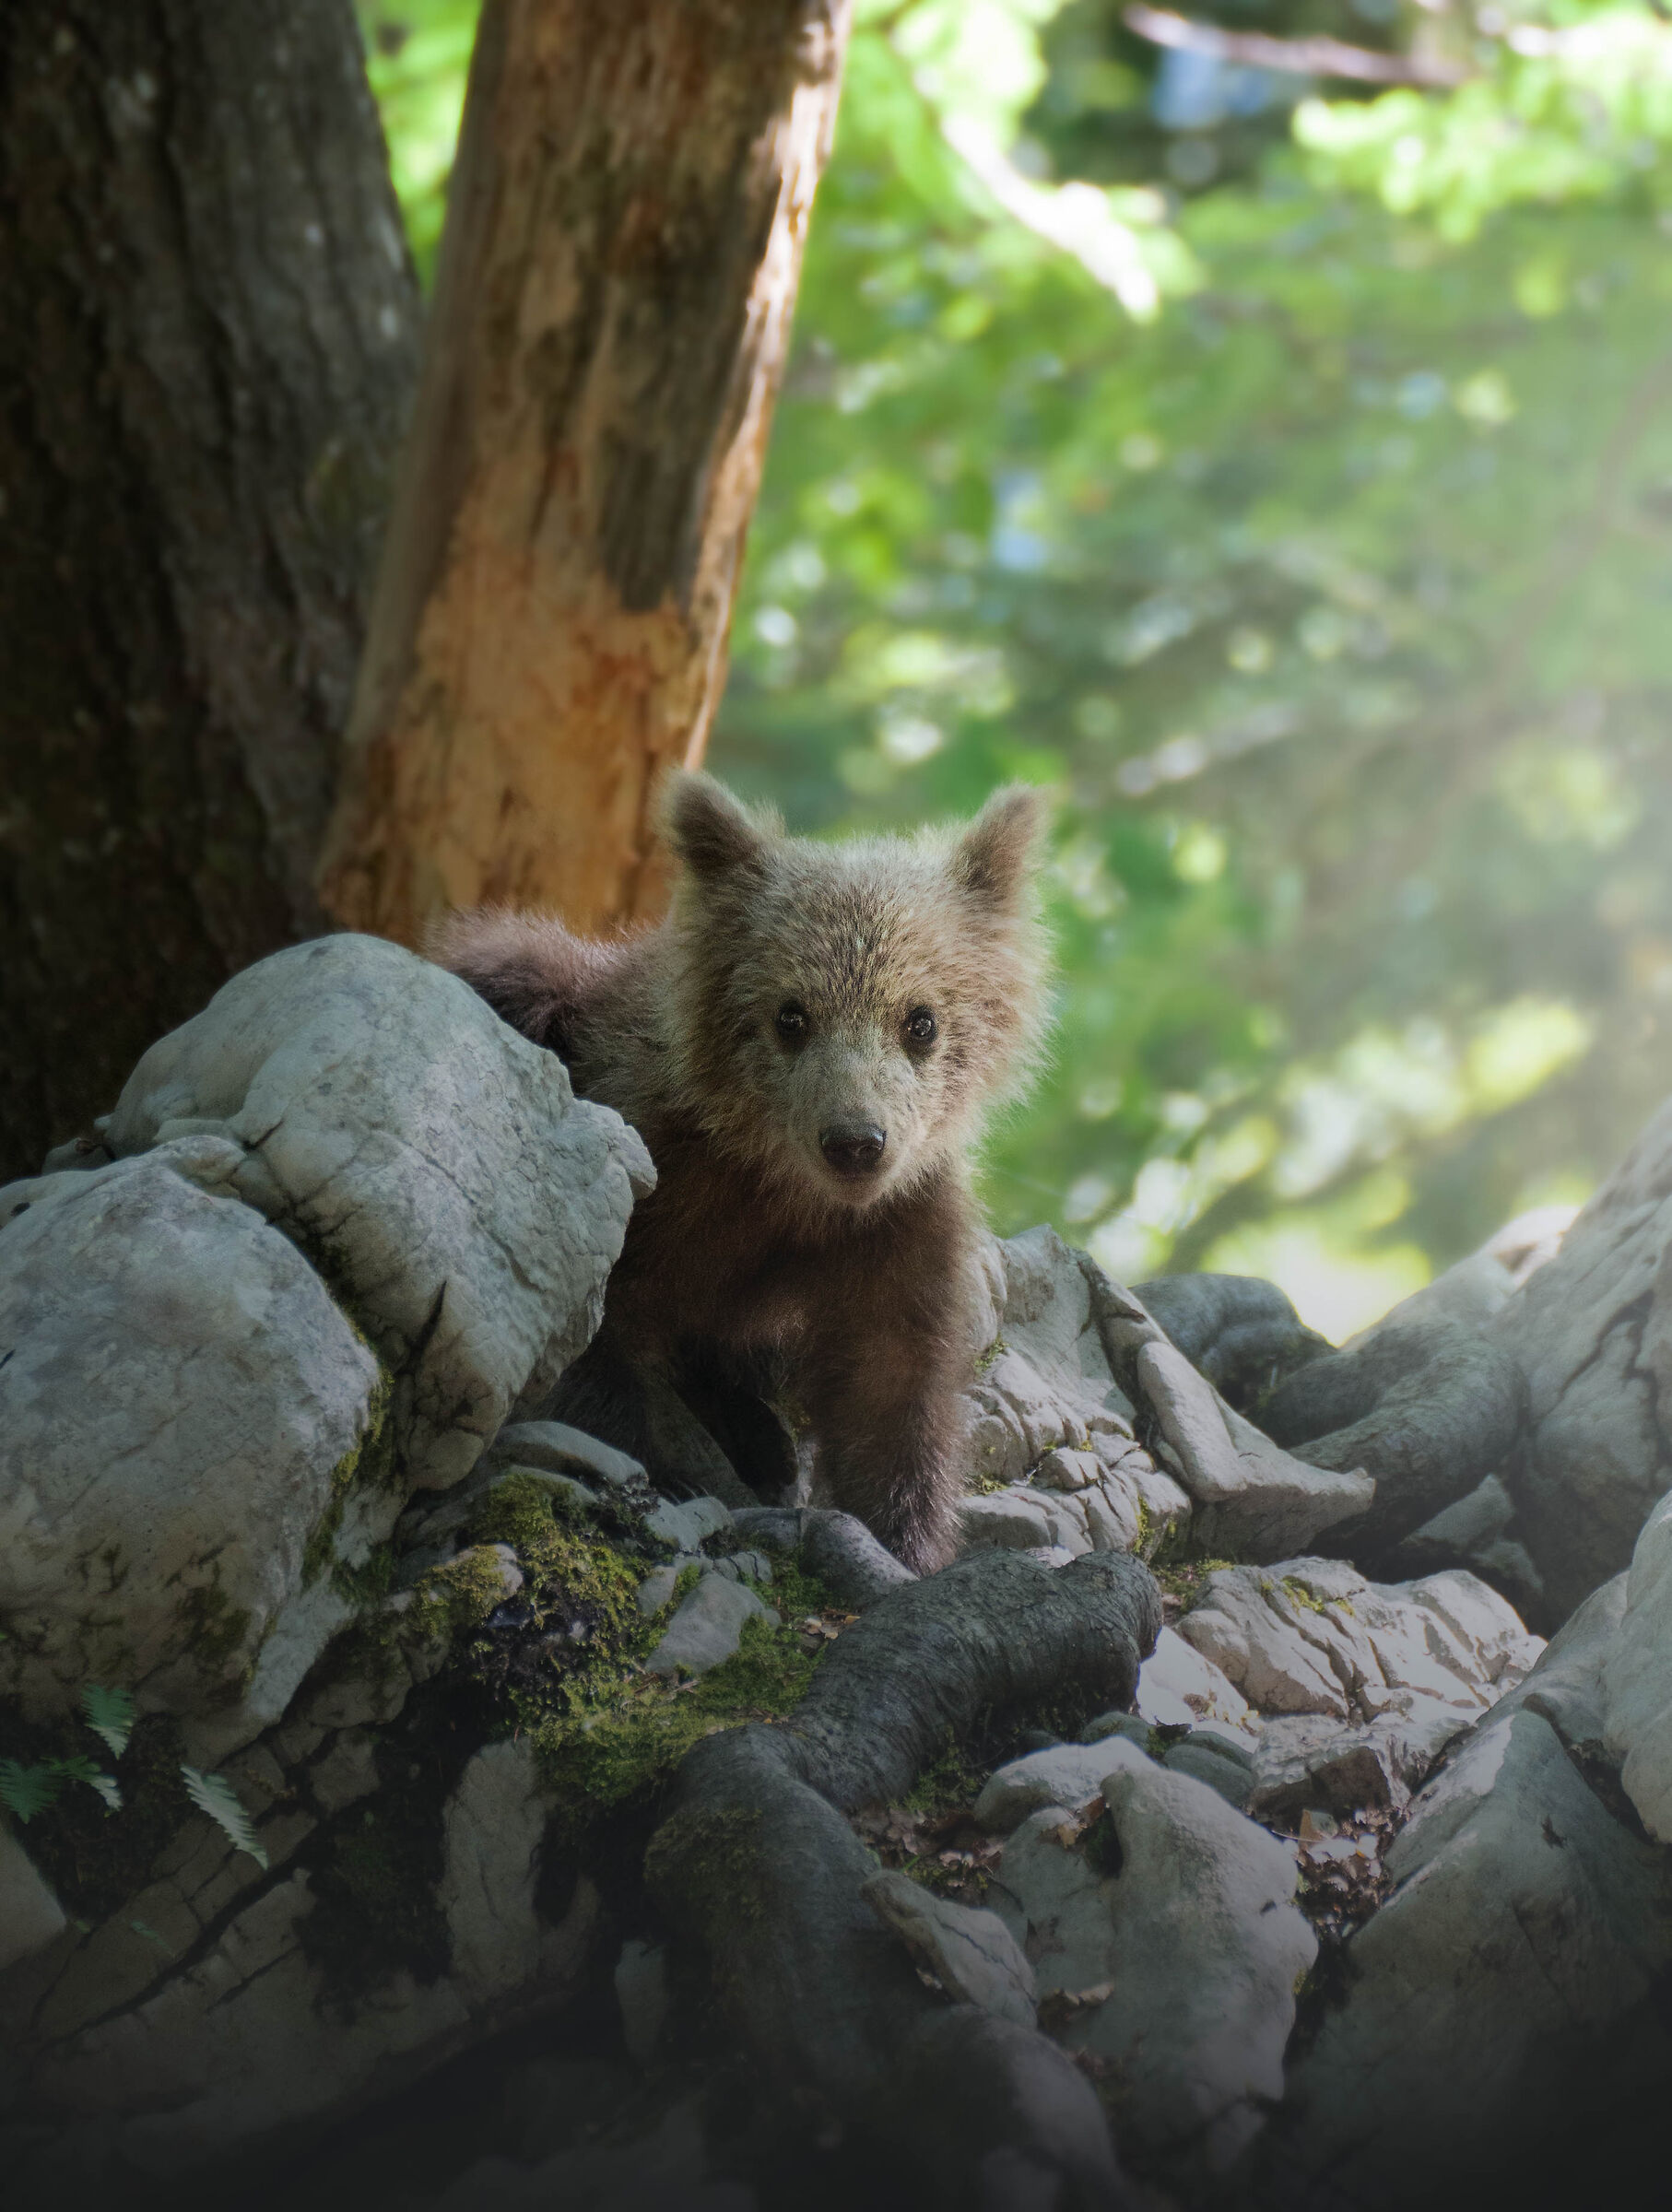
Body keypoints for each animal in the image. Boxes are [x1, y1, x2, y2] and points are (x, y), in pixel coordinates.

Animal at [433, 772, 1048, 1572]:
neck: (777, 1184)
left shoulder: (894, 1228)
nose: (855, 1141)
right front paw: (665, 1471)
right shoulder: (643, 1174)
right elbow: (591, 1345)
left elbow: (889, 1390)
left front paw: (903, 1541)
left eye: (921, 1020)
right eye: (791, 1014)